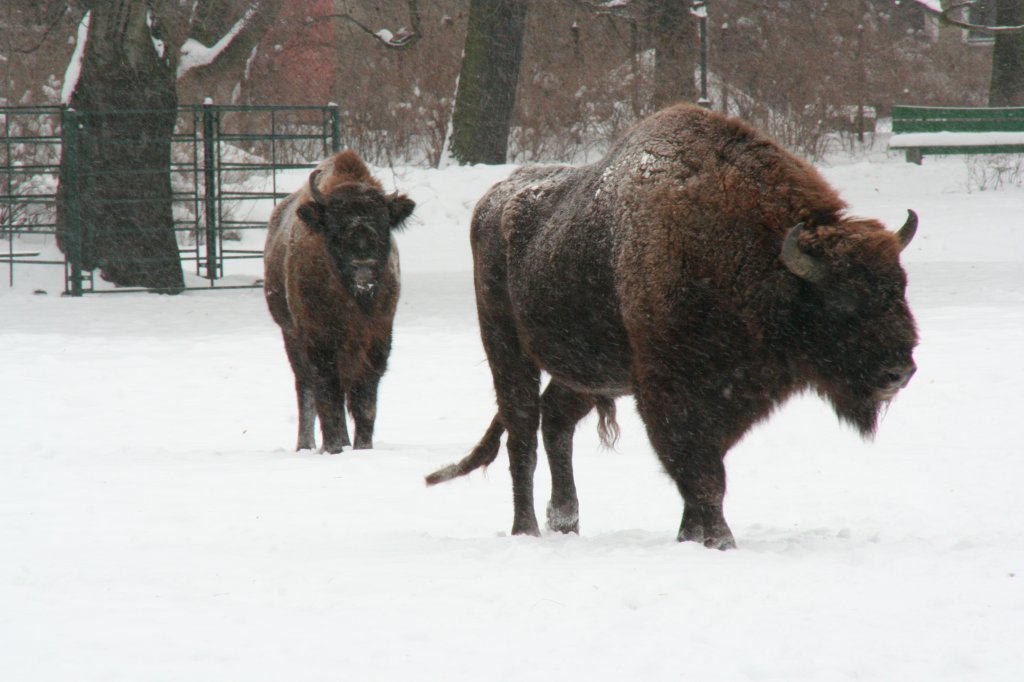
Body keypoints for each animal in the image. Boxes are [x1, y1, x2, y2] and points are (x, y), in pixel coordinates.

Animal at [264, 151, 415, 454]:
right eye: (335, 226)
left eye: (383, 223)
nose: (363, 267)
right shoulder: (318, 338)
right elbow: (328, 395)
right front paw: (333, 447)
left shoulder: (378, 337)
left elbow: (364, 397)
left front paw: (362, 447)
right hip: (290, 334)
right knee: (306, 388)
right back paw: (307, 445)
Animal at [425, 104, 921, 548]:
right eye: (843, 301)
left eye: (899, 287)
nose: (899, 371)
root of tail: (491, 202)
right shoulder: (667, 392)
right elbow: (701, 472)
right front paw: (721, 541)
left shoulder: (724, 396)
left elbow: (701, 467)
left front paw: (690, 535)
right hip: (507, 351)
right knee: (523, 435)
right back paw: (526, 529)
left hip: (587, 372)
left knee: (556, 421)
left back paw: (565, 522)